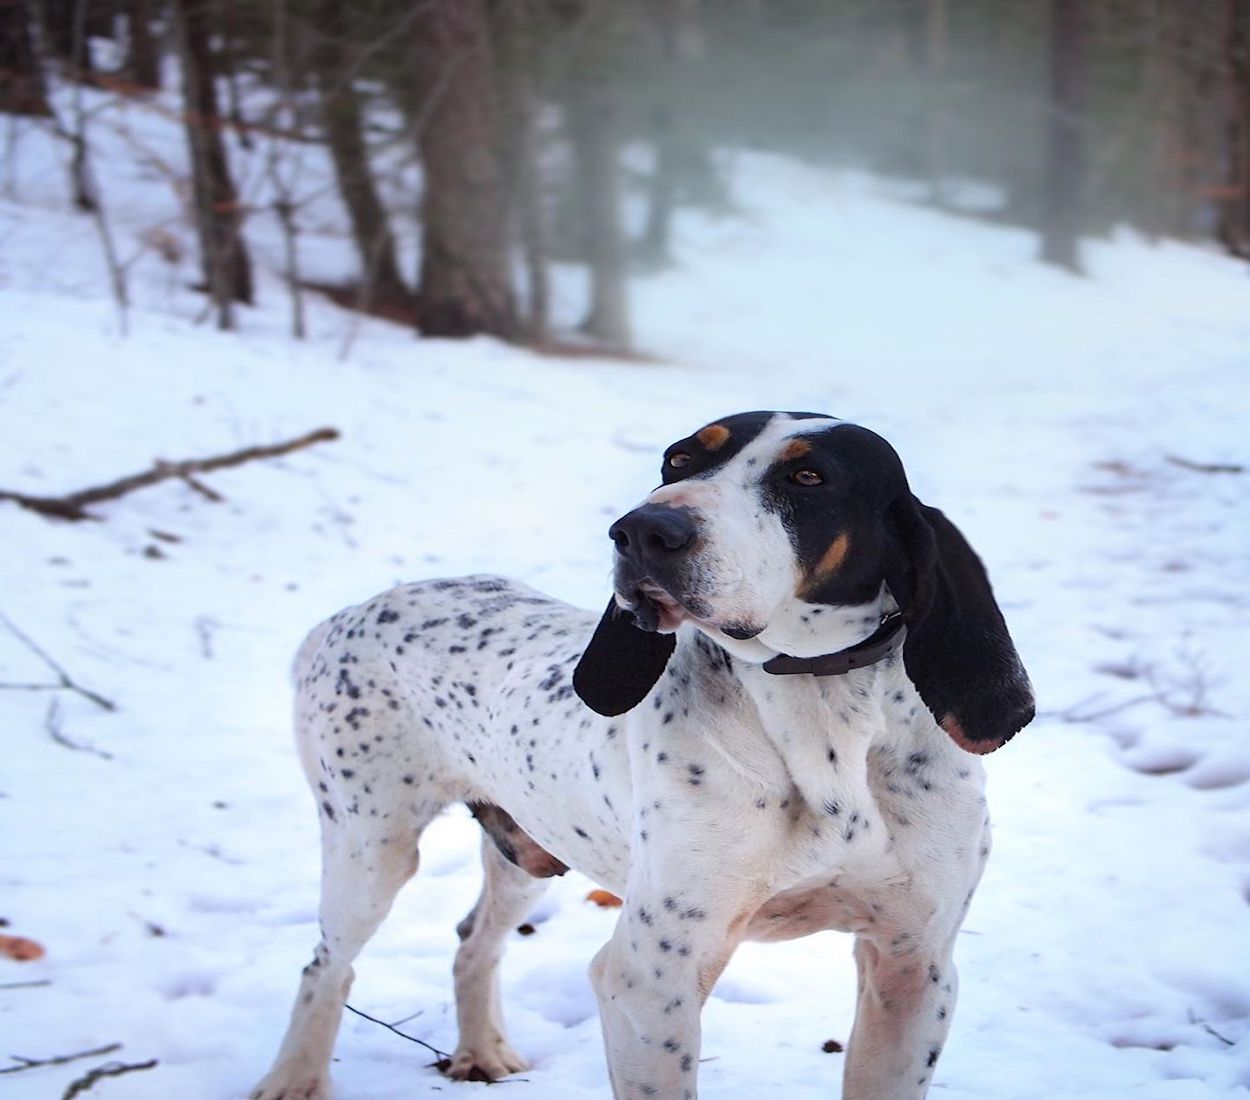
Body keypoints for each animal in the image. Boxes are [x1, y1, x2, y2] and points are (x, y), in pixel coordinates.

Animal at [251, 410, 1035, 1100]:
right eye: (679, 460)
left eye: (808, 477)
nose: (644, 530)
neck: (819, 706)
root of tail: (345, 616)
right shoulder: (650, 981)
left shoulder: (913, 968)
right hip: (369, 852)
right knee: (327, 966)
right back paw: (295, 1080)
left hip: (527, 850)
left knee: (475, 939)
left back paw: (482, 1051)